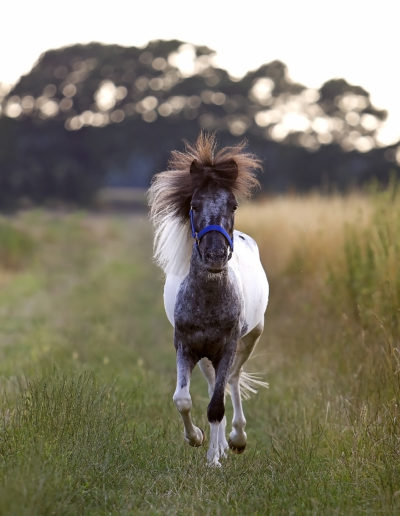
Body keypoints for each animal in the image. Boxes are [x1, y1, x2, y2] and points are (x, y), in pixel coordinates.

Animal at [149, 134, 268, 468]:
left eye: (233, 204)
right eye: (194, 205)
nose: (215, 255)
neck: (208, 301)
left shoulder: (227, 347)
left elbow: (216, 405)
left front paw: (214, 460)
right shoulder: (185, 346)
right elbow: (182, 399)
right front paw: (196, 438)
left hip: (248, 340)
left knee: (232, 383)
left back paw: (236, 440)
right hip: (205, 357)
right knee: (218, 384)